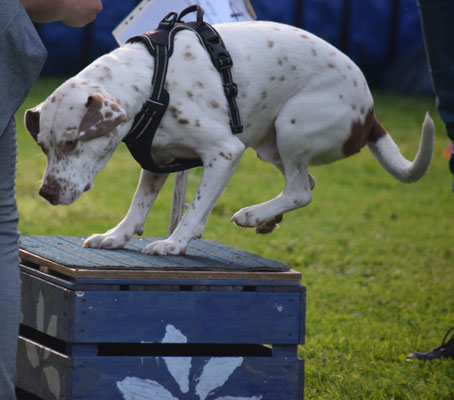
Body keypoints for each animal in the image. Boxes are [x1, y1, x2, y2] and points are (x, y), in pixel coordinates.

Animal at [23, 21, 434, 253]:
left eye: (72, 141)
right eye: (43, 146)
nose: (46, 193)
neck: (152, 83)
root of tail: (370, 113)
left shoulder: (224, 153)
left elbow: (195, 208)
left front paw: (174, 243)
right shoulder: (158, 160)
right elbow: (138, 206)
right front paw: (117, 237)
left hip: (292, 125)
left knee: (301, 190)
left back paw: (253, 214)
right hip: (272, 146)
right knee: (307, 184)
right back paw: (266, 218)